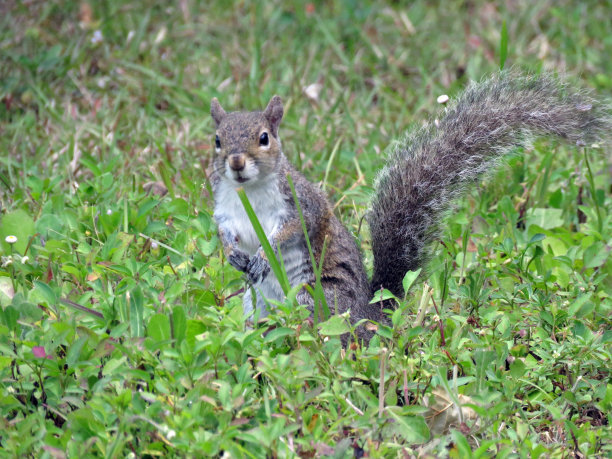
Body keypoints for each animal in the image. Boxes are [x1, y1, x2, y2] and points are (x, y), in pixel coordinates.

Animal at [208, 72, 608, 344]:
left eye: (264, 138)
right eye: (216, 140)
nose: (237, 163)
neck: (248, 192)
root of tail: (372, 314)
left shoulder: (301, 203)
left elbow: (296, 228)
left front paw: (265, 253)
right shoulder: (224, 210)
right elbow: (226, 234)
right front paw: (234, 254)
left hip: (317, 297)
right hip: (256, 304)